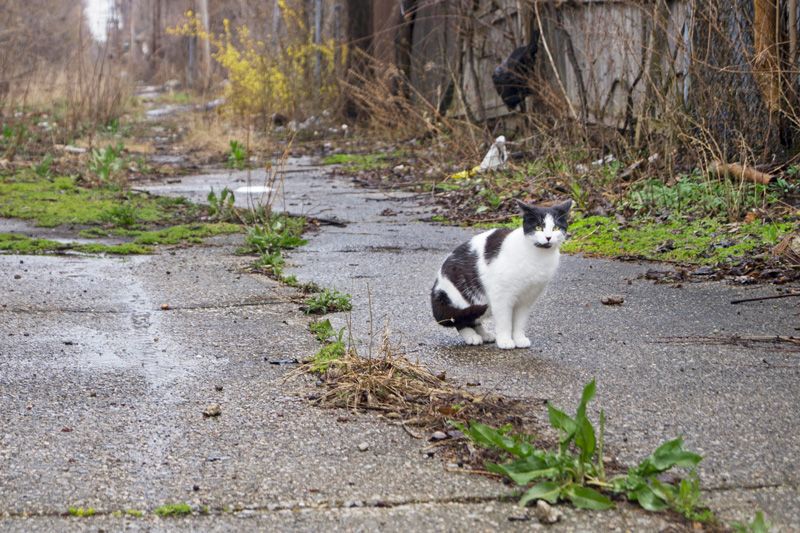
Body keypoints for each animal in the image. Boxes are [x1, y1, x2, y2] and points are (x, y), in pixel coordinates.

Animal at [428, 197, 572, 348]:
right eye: (538, 227)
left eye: (556, 228)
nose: (548, 237)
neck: (539, 257)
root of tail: (435, 291)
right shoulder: (501, 295)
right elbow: (504, 322)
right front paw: (505, 341)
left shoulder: (527, 298)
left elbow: (520, 322)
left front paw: (519, 339)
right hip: (467, 300)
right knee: (459, 319)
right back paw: (472, 336)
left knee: (472, 320)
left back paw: (485, 335)